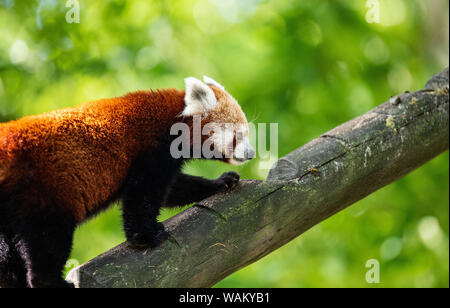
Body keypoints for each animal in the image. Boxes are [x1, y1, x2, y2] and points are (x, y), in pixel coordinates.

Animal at [0, 76, 255, 288]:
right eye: (238, 135)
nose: (251, 153)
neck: (173, 121)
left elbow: (173, 189)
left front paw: (221, 182)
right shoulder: (151, 151)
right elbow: (142, 196)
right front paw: (146, 238)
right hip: (47, 193)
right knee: (48, 240)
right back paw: (50, 282)